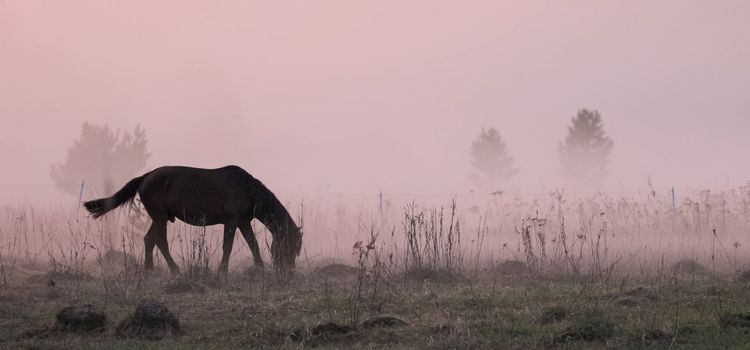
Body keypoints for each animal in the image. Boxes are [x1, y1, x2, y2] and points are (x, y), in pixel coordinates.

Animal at [81, 166, 302, 274]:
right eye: (290, 244)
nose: (289, 269)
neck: (249, 189)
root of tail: (146, 177)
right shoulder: (232, 221)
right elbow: (228, 246)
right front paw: (223, 270)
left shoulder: (243, 222)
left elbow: (253, 243)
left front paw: (259, 267)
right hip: (160, 217)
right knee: (161, 241)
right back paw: (174, 269)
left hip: (158, 217)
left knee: (149, 240)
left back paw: (149, 269)